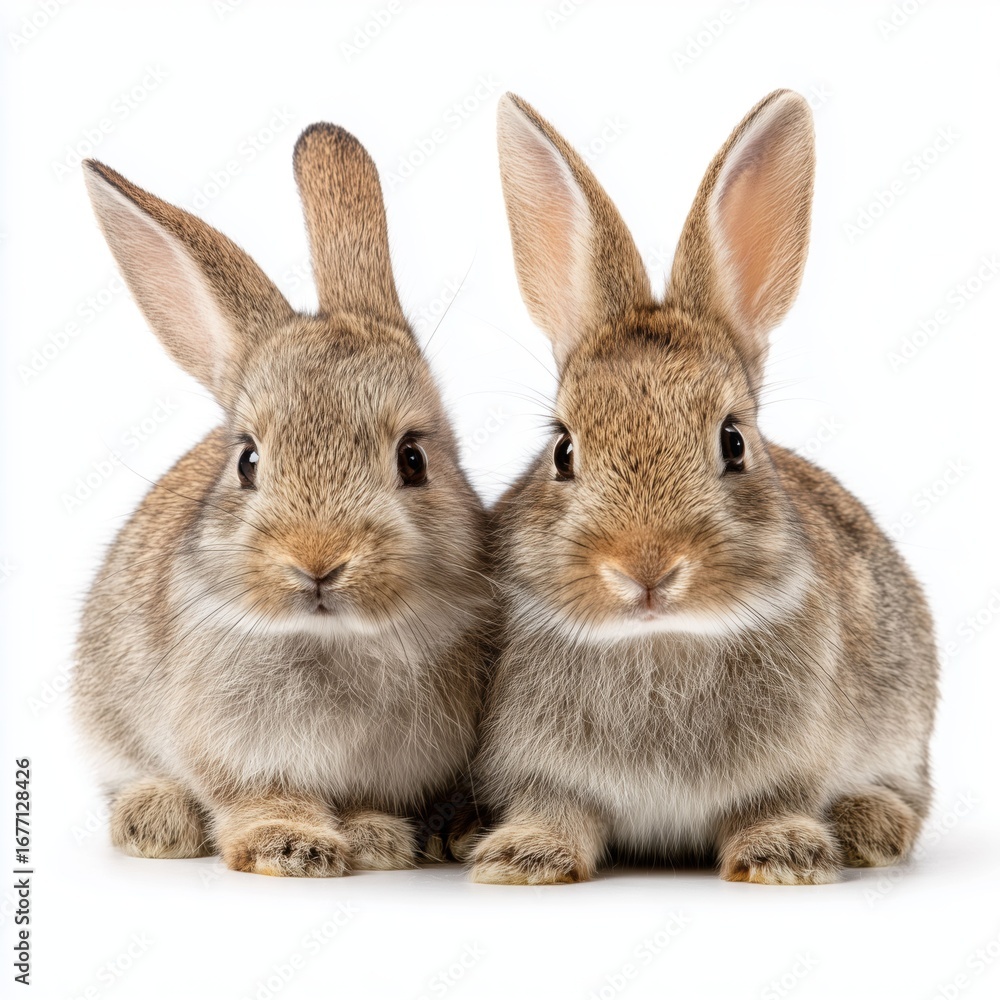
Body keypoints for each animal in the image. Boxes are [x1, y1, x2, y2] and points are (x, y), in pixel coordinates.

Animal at [71, 122, 492, 876]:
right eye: (247, 460)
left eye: (413, 459)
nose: (317, 560)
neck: (332, 638)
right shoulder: (233, 755)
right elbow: (261, 799)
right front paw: (292, 847)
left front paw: (376, 840)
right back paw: (157, 821)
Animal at [467, 91, 938, 885]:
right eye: (563, 450)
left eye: (734, 442)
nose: (646, 567)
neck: (660, 638)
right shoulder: (542, 770)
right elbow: (556, 808)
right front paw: (523, 857)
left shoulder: (791, 764)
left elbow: (769, 805)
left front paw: (784, 854)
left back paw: (869, 825)